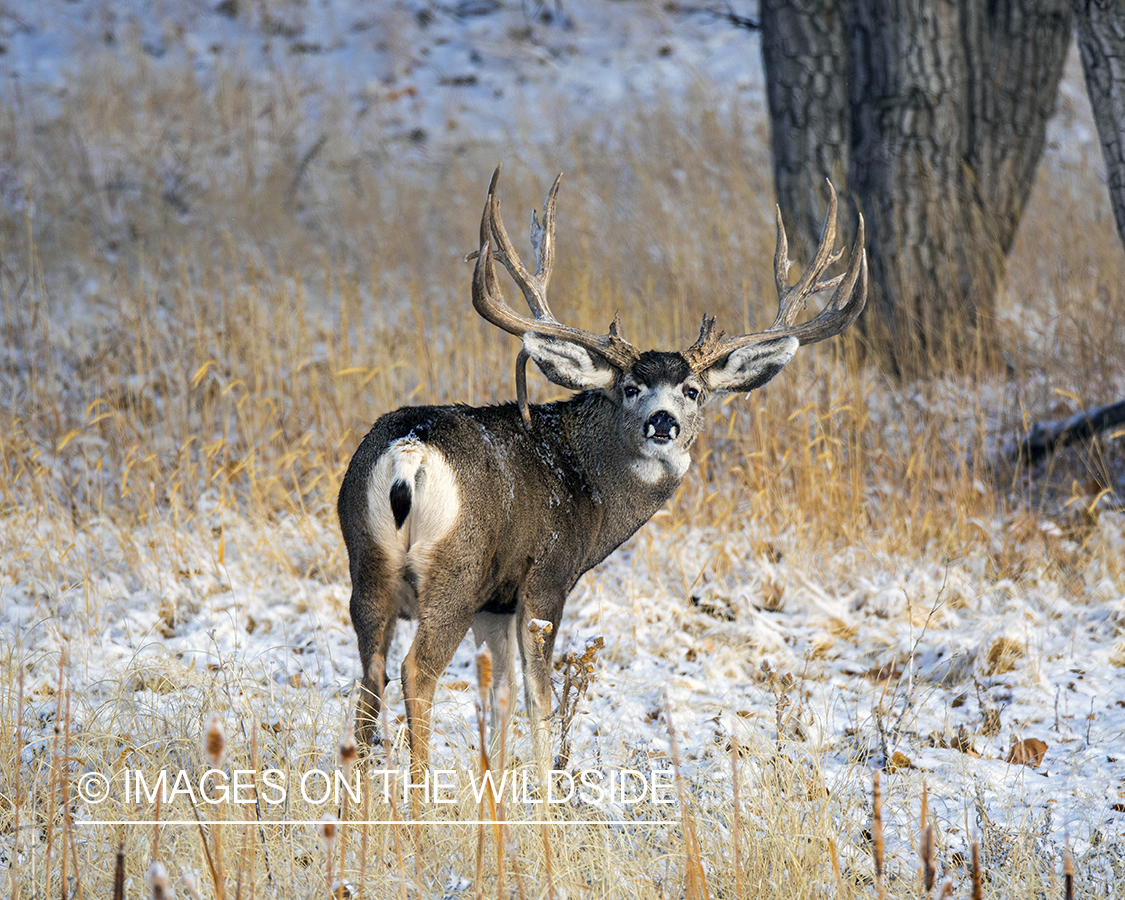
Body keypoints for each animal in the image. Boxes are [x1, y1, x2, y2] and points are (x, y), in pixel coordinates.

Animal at [337, 165, 864, 783]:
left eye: (693, 390)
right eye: (630, 388)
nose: (663, 422)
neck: (587, 482)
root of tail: (410, 450)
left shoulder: (498, 601)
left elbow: (500, 695)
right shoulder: (545, 579)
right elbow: (538, 700)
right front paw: (543, 790)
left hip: (367, 561)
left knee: (370, 675)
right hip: (455, 569)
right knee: (416, 670)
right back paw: (419, 794)